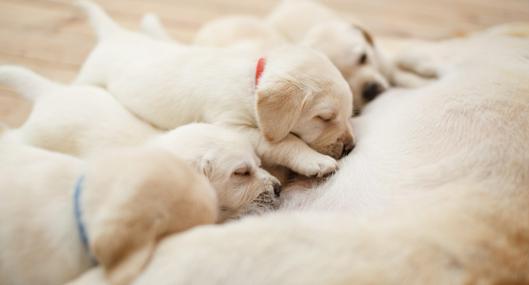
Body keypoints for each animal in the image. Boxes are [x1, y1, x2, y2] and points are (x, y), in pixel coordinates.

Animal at [74, 0, 354, 178]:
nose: (351, 148)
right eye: (324, 117)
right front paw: (314, 160)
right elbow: (284, 141)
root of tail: (116, 35)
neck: (251, 84)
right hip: (89, 77)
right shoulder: (230, 124)